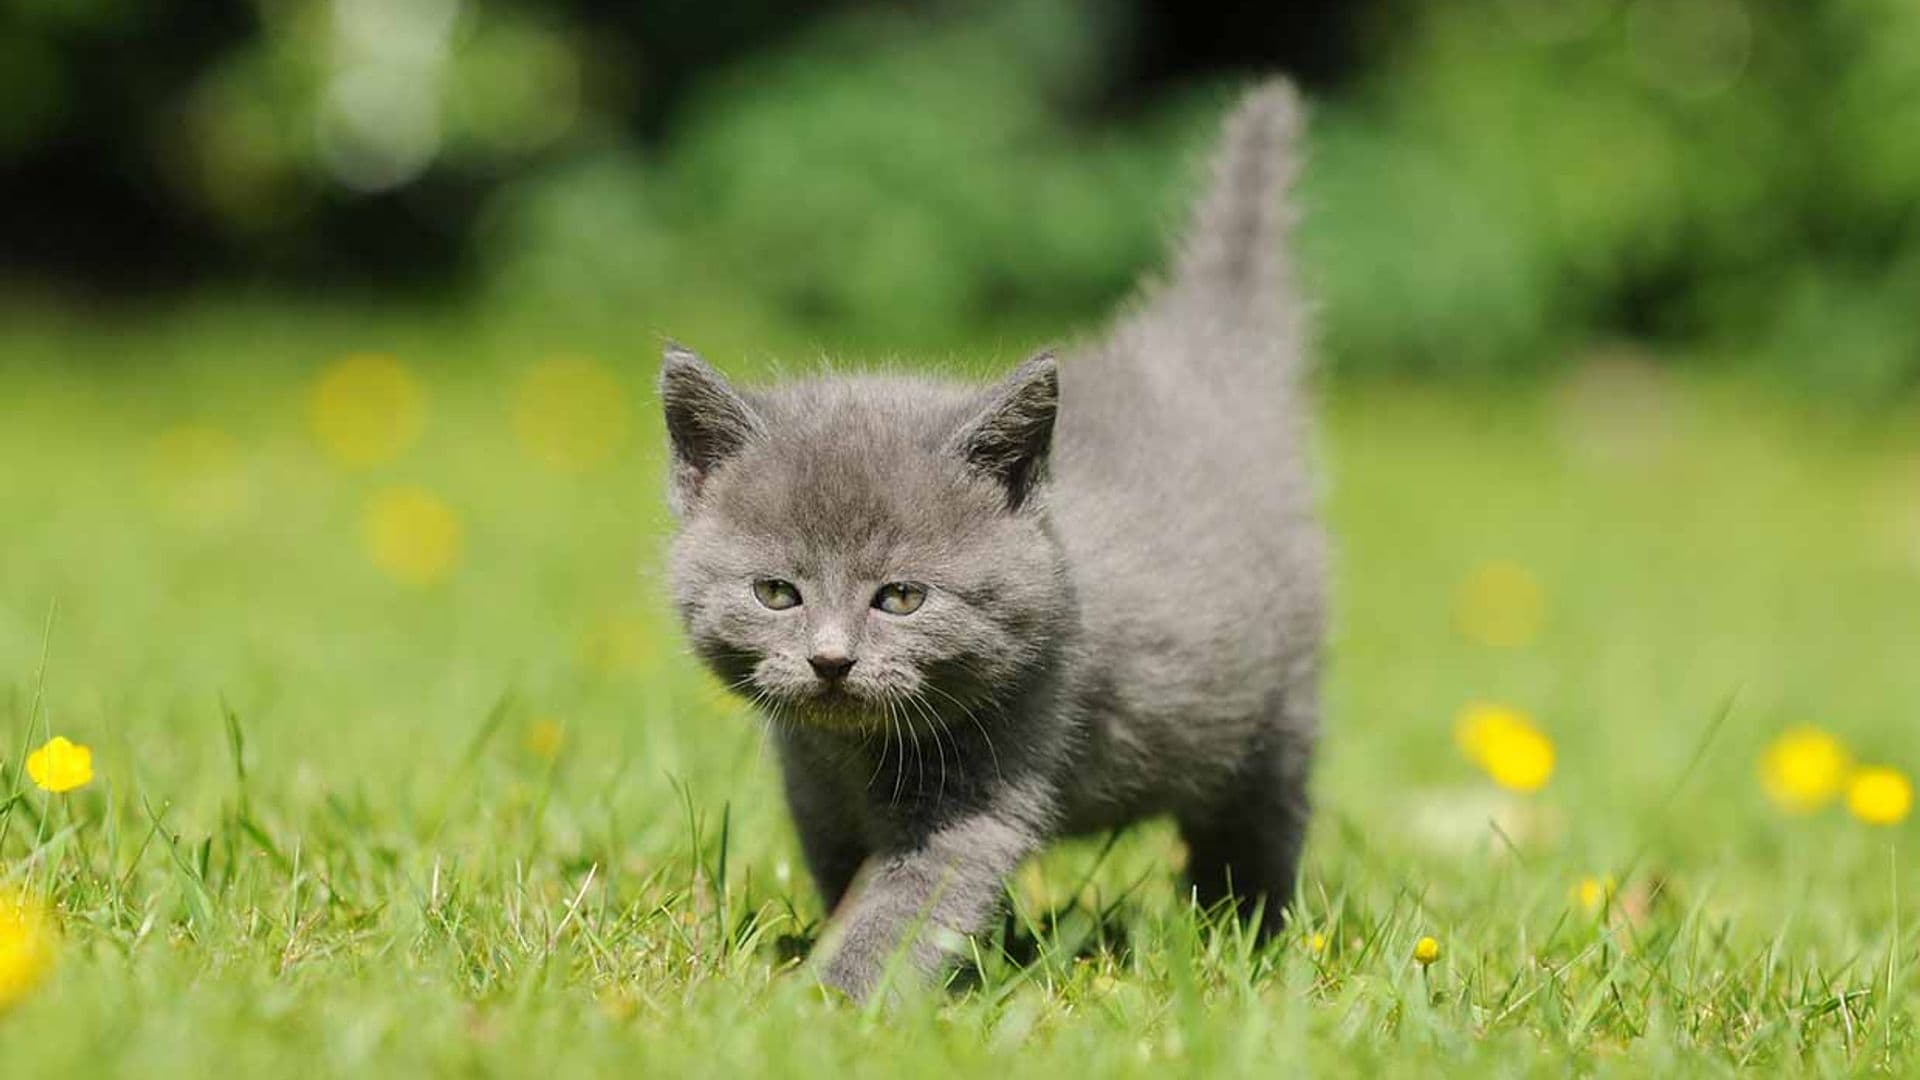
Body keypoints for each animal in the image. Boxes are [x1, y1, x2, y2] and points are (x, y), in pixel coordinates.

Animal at [660, 79, 1320, 999]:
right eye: (776, 593)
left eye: (902, 597)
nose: (831, 660)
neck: (857, 755)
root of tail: (1191, 364)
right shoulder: (813, 790)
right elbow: (848, 881)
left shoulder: (990, 777)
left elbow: (908, 906)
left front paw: (830, 1002)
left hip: (1278, 712)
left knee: (1260, 822)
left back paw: (1251, 935)